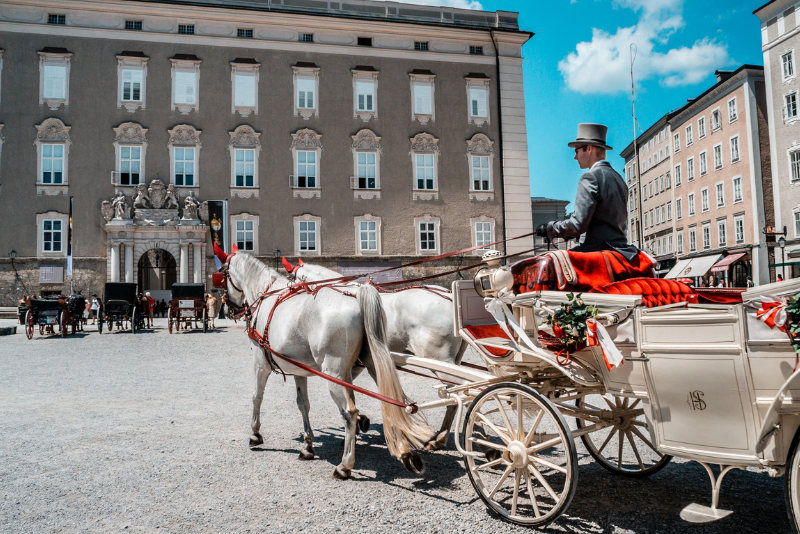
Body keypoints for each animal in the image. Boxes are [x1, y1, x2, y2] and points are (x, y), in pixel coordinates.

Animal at [219, 253, 432, 480]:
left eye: (222, 273)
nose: (229, 309)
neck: (267, 294)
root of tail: (356, 296)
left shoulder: (260, 364)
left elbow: (256, 397)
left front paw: (255, 434)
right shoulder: (300, 370)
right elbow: (303, 403)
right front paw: (307, 445)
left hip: (334, 373)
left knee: (349, 412)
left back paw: (345, 465)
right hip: (373, 363)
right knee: (391, 400)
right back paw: (405, 453)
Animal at [284, 260, 468, 452]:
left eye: (290, 282)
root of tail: (450, 298)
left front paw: (356, 425)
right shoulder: (356, 364)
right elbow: (351, 392)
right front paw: (358, 423)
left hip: (439, 360)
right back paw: (441, 437)